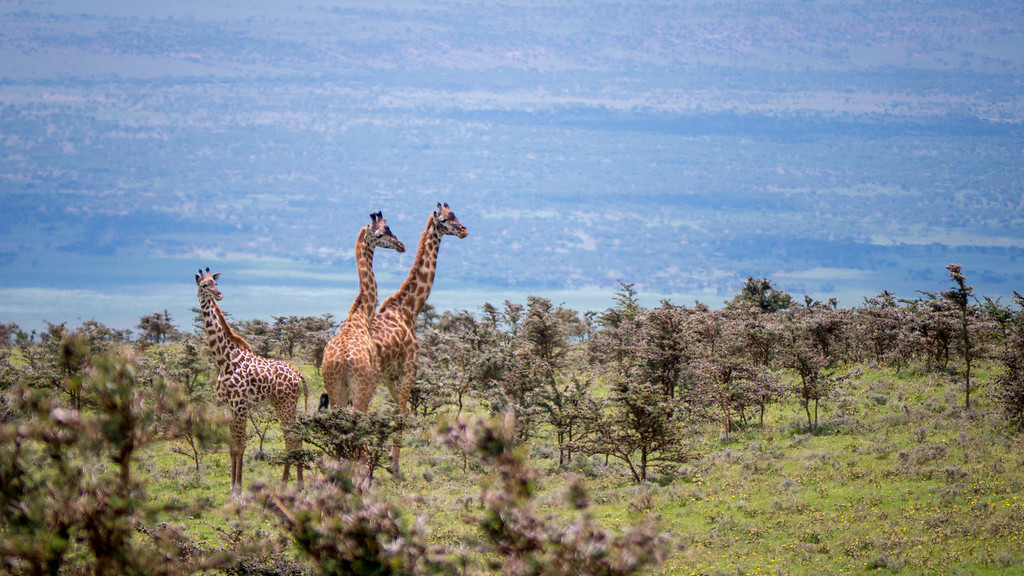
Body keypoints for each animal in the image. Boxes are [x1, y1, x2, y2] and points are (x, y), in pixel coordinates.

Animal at [194, 267, 309, 495]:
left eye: (215, 282)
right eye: (204, 285)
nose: (218, 294)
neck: (224, 360)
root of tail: (298, 374)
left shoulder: (240, 405)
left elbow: (240, 445)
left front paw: (237, 489)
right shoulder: (229, 405)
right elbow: (232, 445)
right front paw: (232, 487)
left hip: (285, 404)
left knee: (292, 438)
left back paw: (290, 483)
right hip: (284, 404)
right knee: (294, 437)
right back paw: (295, 483)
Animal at [321, 211, 405, 412]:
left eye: (389, 229)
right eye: (380, 234)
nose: (401, 245)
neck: (361, 313)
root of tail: (342, 360)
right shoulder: (371, 383)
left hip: (334, 388)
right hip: (360, 389)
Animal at [369, 202, 468, 476]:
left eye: (456, 215)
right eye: (444, 220)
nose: (464, 230)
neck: (409, 309)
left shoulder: (391, 376)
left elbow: (398, 410)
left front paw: (390, 460)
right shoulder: (409, 368)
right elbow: (403, 412)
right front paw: (393, 465)